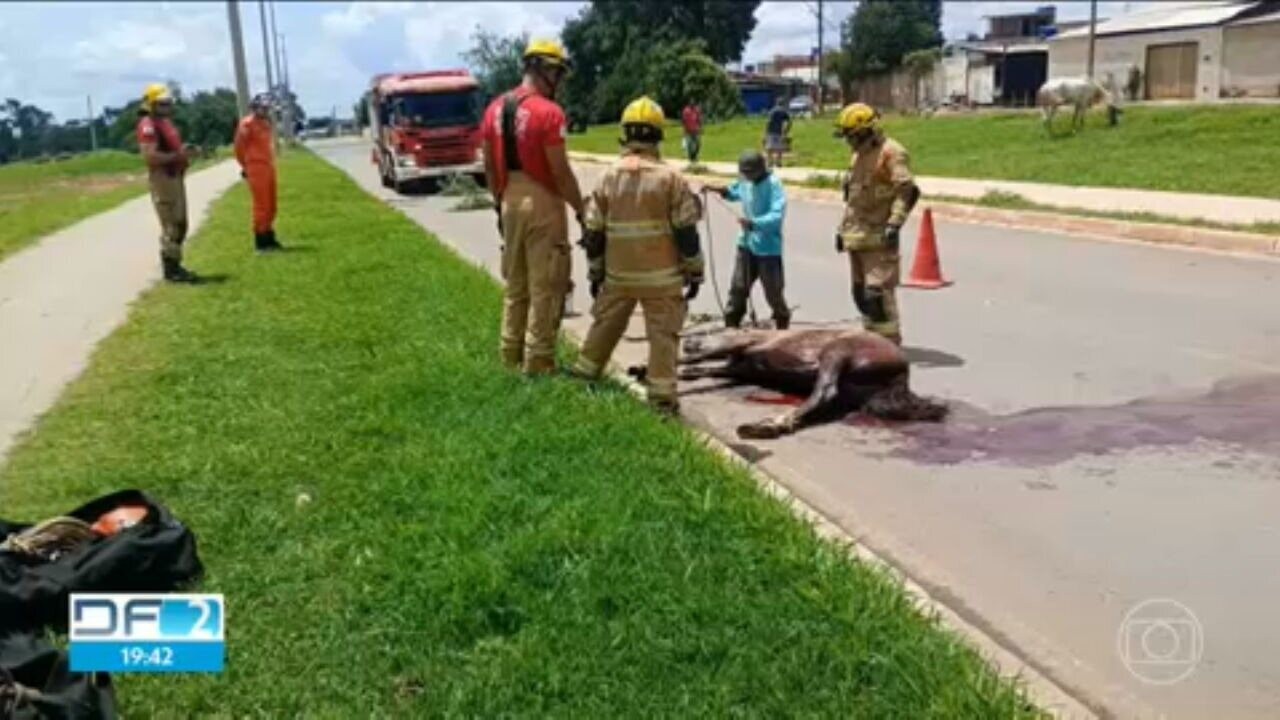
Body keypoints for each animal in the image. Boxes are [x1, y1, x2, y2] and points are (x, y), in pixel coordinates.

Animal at [686, 326, 947, 438]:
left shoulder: (743, 344)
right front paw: (688, 372)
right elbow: (705, 369)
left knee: (825, 392)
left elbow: (702, 359)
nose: (688, 341)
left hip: (837, 352)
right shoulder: (740, 370)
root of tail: (901, 377)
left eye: (702, 333)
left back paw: (768, 425)